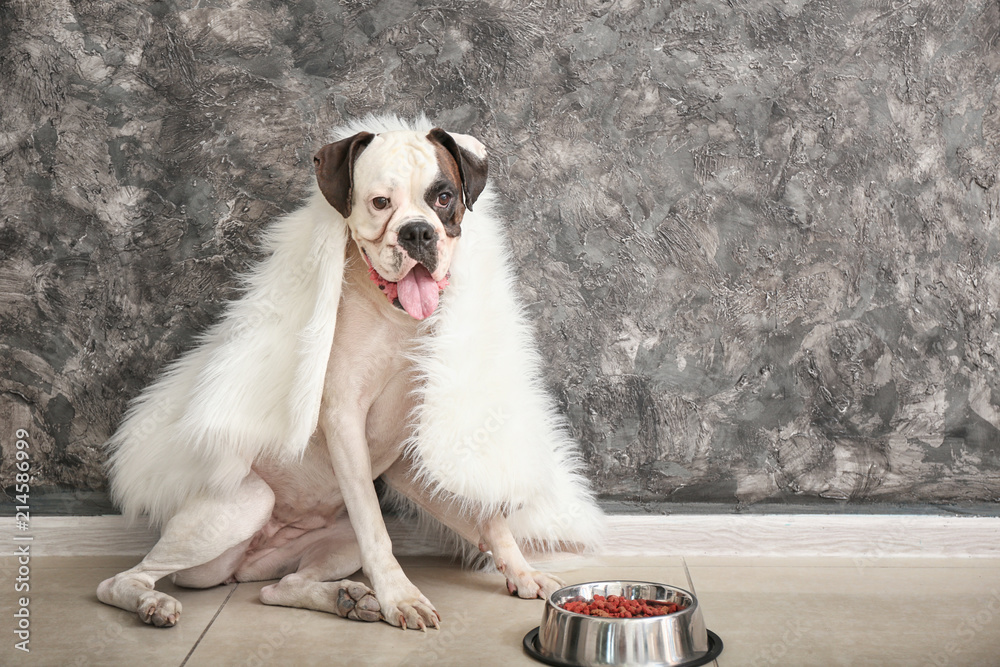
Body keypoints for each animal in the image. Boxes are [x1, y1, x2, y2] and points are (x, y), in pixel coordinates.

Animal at [97, 116, 604, 632]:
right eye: (380, 203)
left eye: (444, 197)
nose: (417, 233)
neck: (397, 319)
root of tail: (242, 564)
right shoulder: (344, 421)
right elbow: (376, 529)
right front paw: (401, 597)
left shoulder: (410, 451)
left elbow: (485, 515)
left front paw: (520, 569)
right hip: (243, 506)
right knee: (123, 579)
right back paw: (154, 603)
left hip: (333, 545)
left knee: (281, 588)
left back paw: (349, 598)